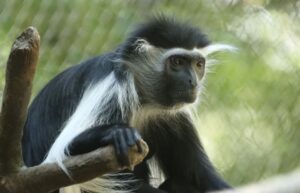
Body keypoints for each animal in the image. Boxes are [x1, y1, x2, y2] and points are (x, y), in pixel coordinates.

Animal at [22, 17, 234, 193]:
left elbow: (201, 176)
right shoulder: (112, 88)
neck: (145, 102)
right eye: (177, 61)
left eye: (198, 65)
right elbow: (62, 155)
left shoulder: (174, 118)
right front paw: (117, 133)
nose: (193, 82)